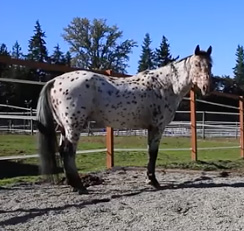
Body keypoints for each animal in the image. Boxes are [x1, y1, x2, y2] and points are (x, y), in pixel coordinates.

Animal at [36, 44, 212, 193]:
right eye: (197, 64)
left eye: (210, 64)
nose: (207, 88)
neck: (164, 85)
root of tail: (55, 81)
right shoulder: (157, 127)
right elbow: (153, 153)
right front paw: (153, 181)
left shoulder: (151, 128)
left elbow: (150, 152)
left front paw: (150, 179)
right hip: (73, 127)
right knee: (68, 153)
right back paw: (79, 186)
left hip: (64, 128)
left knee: (62, 151)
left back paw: (72, 184)